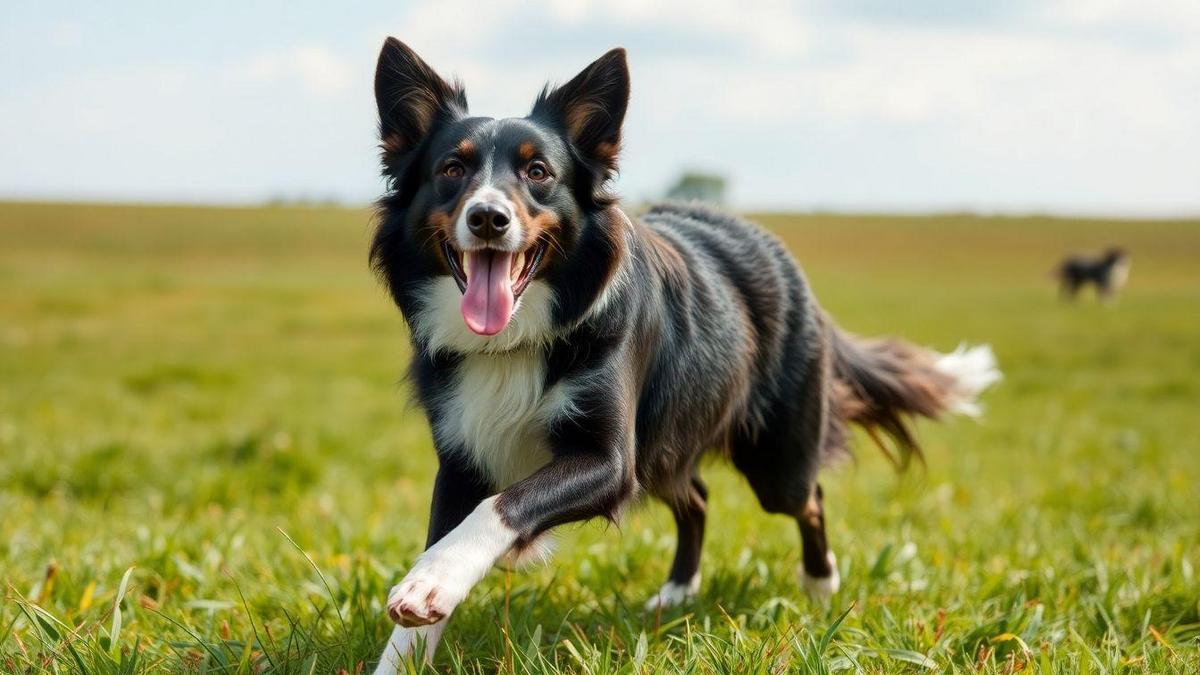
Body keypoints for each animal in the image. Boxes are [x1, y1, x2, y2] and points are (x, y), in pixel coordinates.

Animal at [367, 39, 1003, 667]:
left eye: (538, 171)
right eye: (451, 169)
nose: (488, 218)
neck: (514, 339)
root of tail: (775, 251)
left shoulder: (609, 460)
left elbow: (502, 504)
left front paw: (432, 583)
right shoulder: (462, 452)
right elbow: (449, 534)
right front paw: (412, 628)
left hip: (776, 461)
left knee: (808, 497)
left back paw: (821, 585)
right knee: (695, 495)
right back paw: (677, 592)